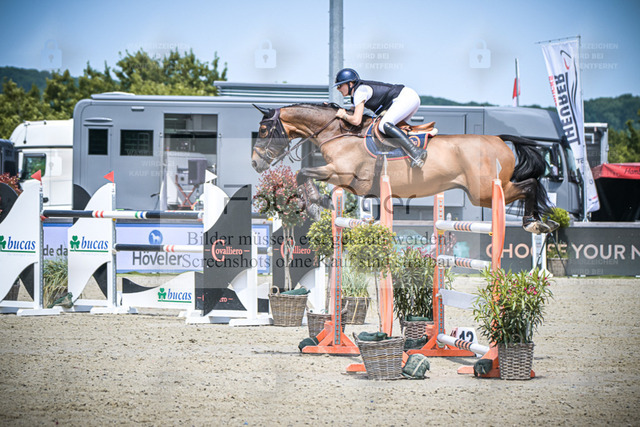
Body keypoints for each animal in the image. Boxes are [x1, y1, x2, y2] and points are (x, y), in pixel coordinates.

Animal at [251, 102, 558, 234]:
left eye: (264, 130)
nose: (254, 162)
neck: (338, 132)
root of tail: (499, 139)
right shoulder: (349, 181)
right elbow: (308, 178)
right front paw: (322, 203)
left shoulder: (344, 172)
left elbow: (303, 173)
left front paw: (316, 205)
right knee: (530, 185)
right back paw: (540, 221)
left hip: (482, 191)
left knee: (529, 185)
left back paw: (533, 222)